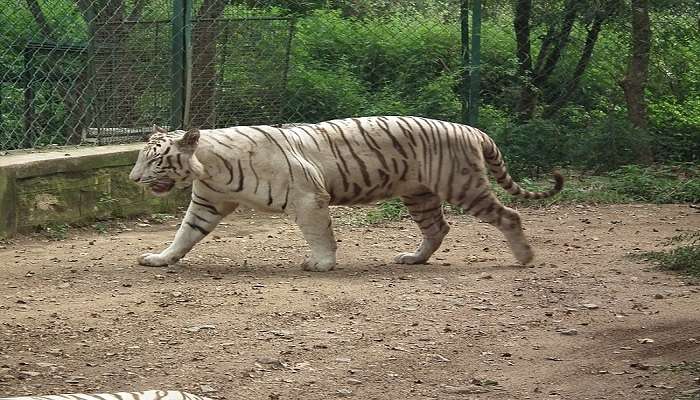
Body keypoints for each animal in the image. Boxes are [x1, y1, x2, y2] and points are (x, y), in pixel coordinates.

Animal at [129, 115, 560, 272]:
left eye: (155, 160)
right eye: (139, 158)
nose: (133, 179)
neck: (210, 166)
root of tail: (472, 129)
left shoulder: (308, 198)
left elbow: (320, 234)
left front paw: (321, 264)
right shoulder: (206, 203)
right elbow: (184, 235)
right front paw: (161, 258)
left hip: (462, 186)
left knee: (510, 216)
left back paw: (525, 258)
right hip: (419, 195)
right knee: (437, 229)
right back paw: (413, 258)